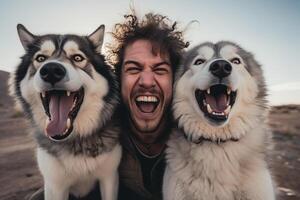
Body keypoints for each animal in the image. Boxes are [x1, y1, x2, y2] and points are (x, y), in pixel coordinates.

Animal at [9, 24, 121, 199]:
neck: (76, 139)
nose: (51, 70)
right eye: (40, 58)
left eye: (77, 58)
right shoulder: (55, 186)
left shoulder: (109, 178)